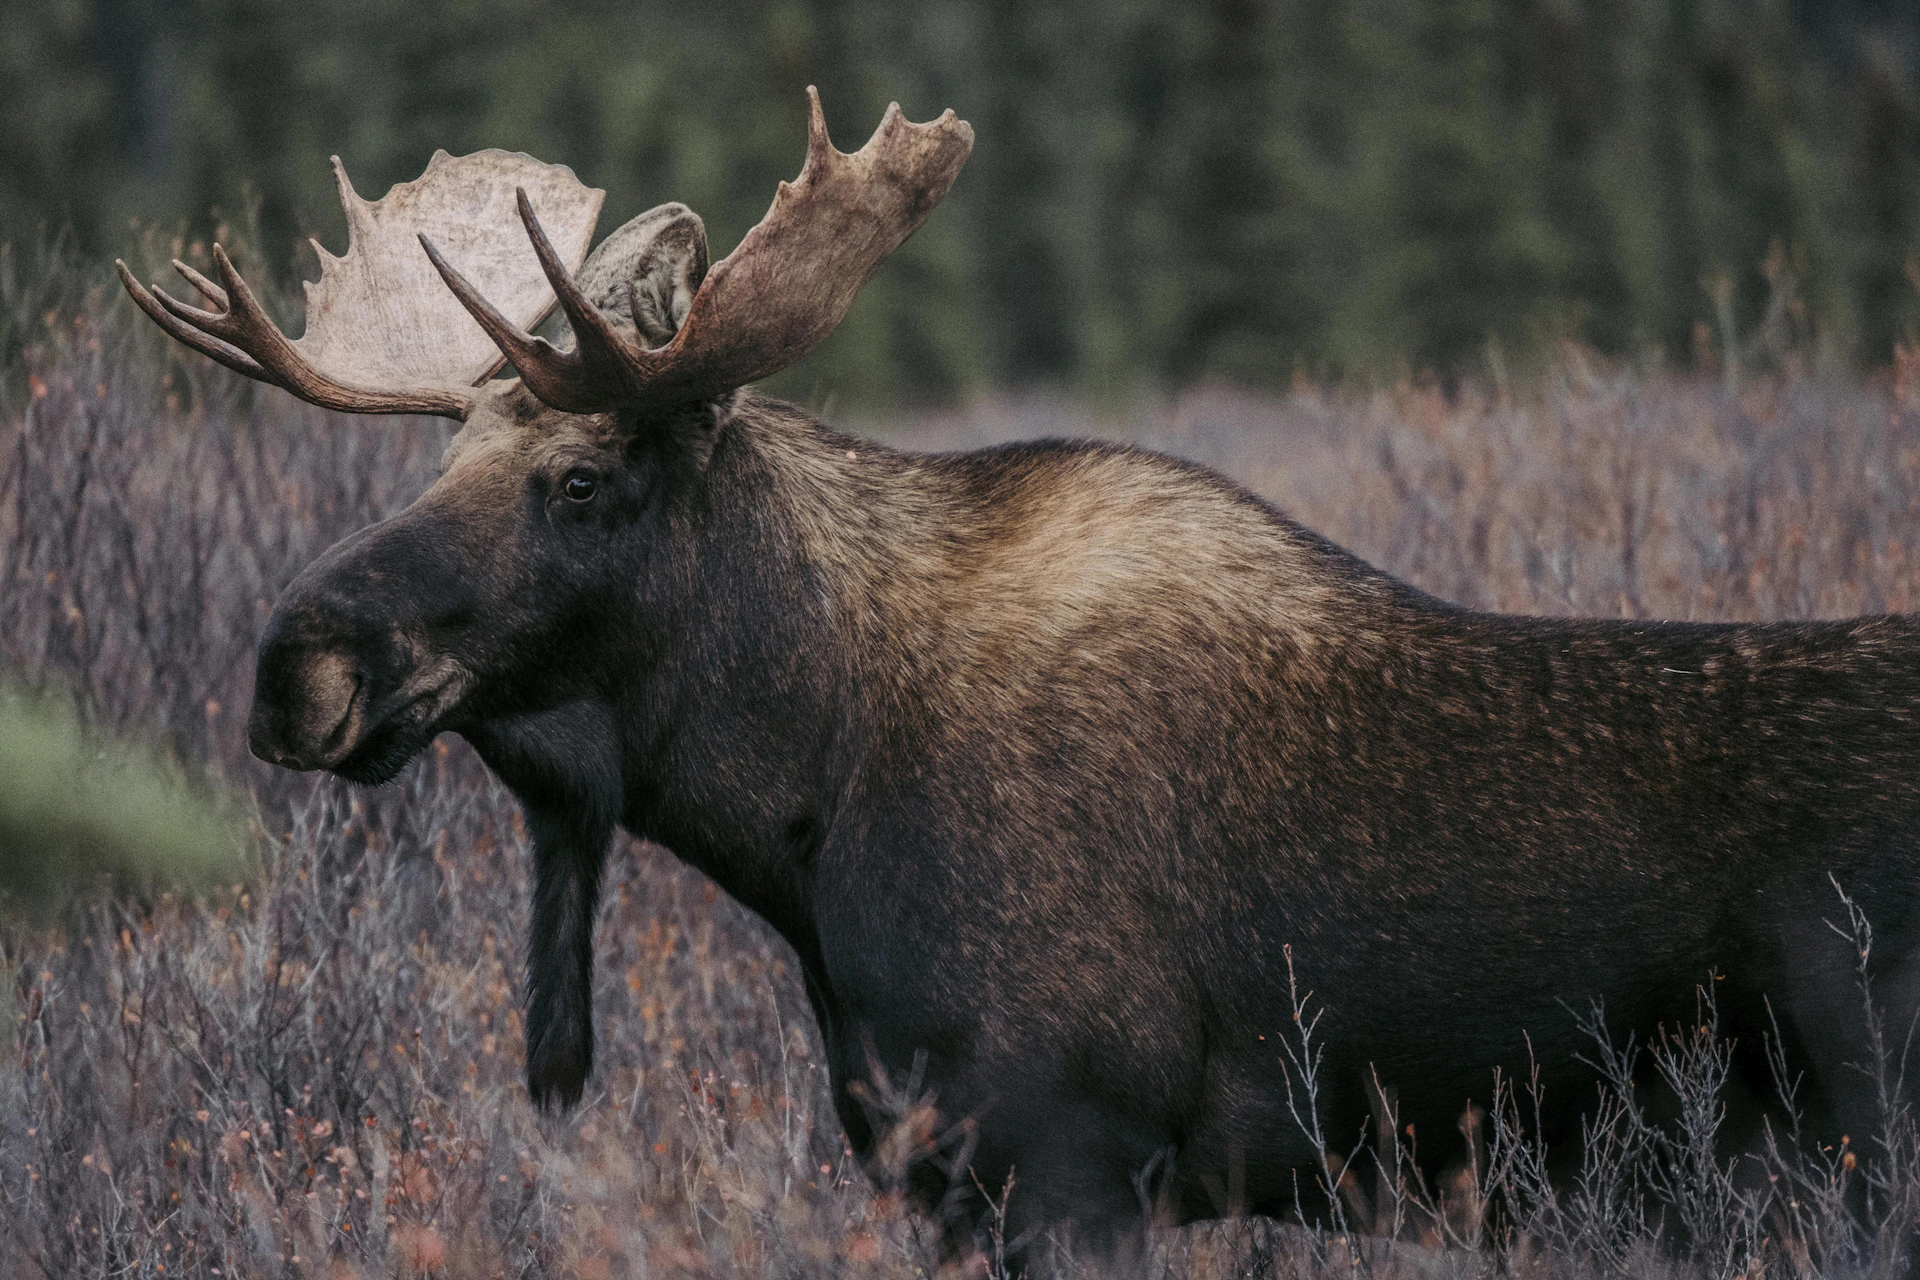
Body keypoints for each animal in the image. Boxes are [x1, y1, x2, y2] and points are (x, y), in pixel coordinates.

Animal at [120, 90, 1920, 1270]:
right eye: (439, 464)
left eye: (579, 480)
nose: (294, 666)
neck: (809, 805)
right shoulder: (936, 1171)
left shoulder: (1072, 1156)